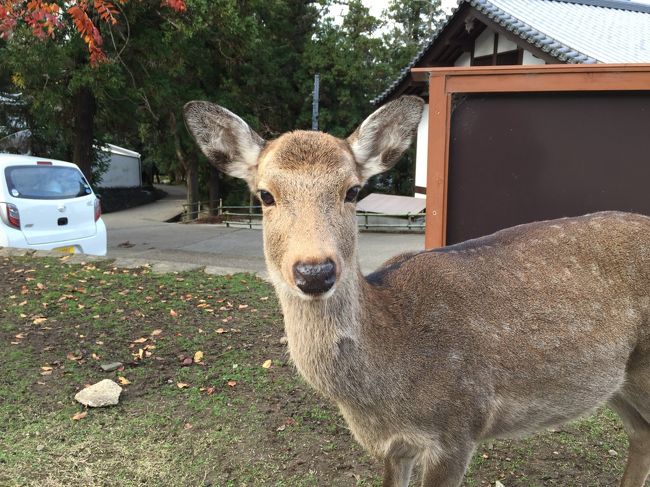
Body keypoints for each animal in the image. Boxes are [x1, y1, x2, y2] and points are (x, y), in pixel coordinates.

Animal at [184, 95, 650, 487]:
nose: (315, 271)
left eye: (353, 190)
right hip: (619, 383)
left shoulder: (459, 428)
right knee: (641, 433)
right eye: (265, 195)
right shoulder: (393, 445)